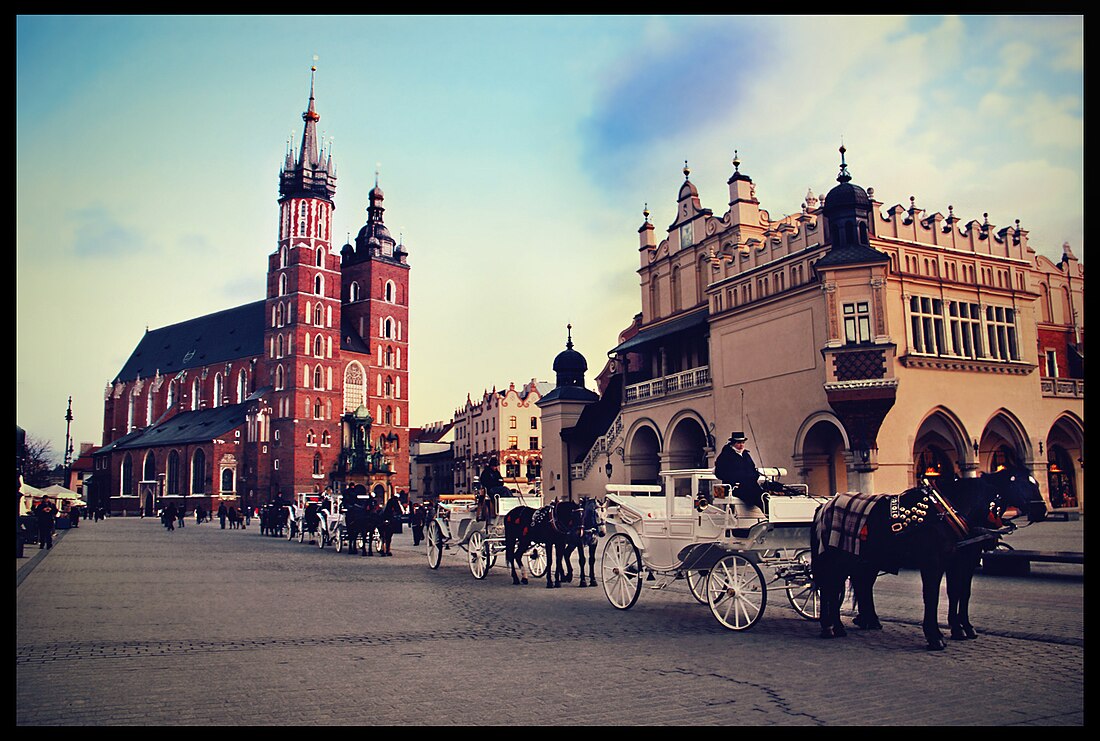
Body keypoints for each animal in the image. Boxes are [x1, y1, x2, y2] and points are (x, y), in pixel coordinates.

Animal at [814, 468, 1042, 646]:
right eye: (1021, 483)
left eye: (1036, 482)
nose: (1041, 509)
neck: (949, 512)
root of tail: (825, 506)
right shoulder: (934, 563)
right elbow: (932, 596)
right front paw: (935, 636)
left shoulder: (960, 561)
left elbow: (959, 593)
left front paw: (961, 628)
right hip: (836, 559)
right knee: (829, 588)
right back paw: (830, 627)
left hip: (862, 560)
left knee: (851, 586)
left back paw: (853, 624)